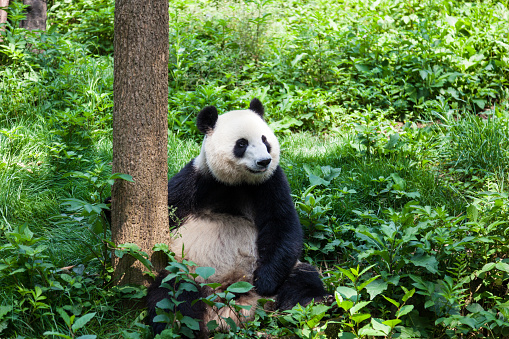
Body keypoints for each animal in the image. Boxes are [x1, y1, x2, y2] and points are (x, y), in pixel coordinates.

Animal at [147, 98, 328, 338]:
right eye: (241, 144)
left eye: (265, 140)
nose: (264, 161)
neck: (237, 182)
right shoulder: (197, 178)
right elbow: (169, 206)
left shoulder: (270, 182)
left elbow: (283, 226)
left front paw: (265, 282)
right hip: (188, 271)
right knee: (171, 297)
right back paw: (180, 327)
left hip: (286, 273)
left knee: (303, 280)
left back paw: (314, 306)